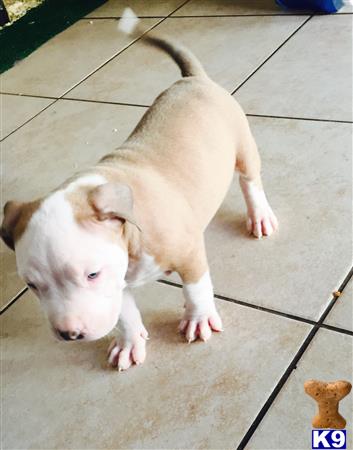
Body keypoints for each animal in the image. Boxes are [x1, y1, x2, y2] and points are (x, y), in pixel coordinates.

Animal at [1, 12, 278, 370]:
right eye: (32, 285)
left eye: (92, 274)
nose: (69, 334)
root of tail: (192, 79)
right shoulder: (119, 280)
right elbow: (124, 313)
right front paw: (129, 342)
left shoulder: (189, 252)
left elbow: (195, 289)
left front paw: (198, 318)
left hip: (242, 146)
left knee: (250, 182)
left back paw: (259, 215)